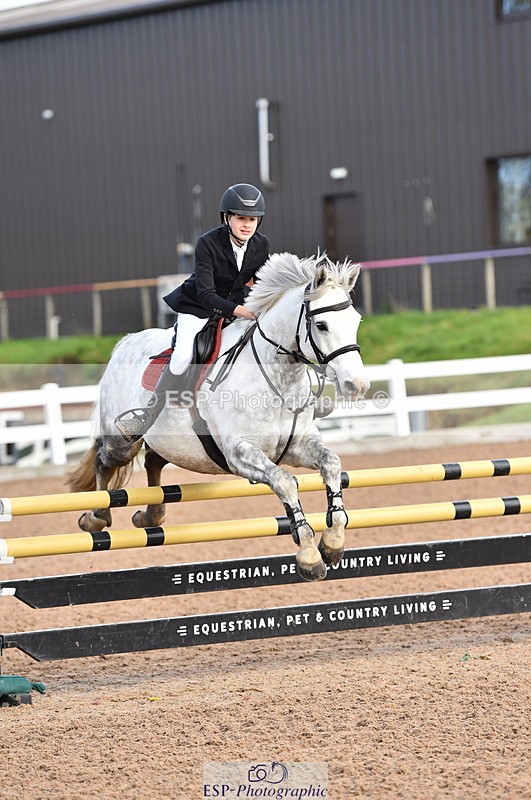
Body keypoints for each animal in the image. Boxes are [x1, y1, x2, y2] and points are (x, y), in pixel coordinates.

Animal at [69, 252, 370, 581]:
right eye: (322, 325)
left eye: (355, 321)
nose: (357, 385)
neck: (278, 378)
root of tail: (125, 342)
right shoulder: (240, 453)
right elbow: (285, 481)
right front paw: (309, 557)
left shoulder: (298, 445)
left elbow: (331, 464)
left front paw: (333, 543)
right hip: (123, 441)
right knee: (104, 460)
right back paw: (96, 518)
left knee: (153, 463)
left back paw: (151, 516)